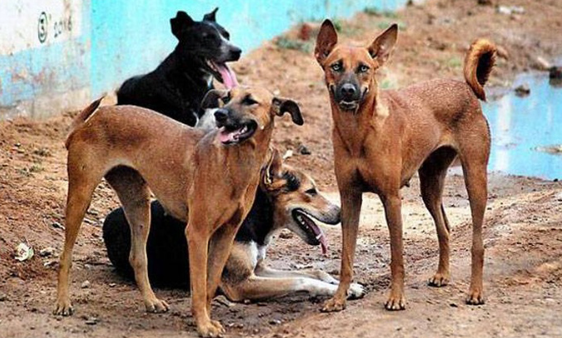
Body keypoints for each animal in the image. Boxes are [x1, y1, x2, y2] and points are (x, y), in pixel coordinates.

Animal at [53, 86, 302, 336]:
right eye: (227, 98)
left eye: (250, 101)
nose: (219, 115)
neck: (233, 163)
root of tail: (90, 122)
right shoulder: (197, 234)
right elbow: (199, 285)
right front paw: (203, 324)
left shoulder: (226, 234)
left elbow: (210, 284)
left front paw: (206, 320)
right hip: (81, 197)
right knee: (66, 256)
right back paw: (63, 303)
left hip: (139, 206)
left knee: (138, 258)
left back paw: (151, 301)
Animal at [101, 151, 364, 302]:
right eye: (311, 191)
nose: (341, 214)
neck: (253, 217)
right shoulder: (240, 284)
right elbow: (301, 280)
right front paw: (338, 290)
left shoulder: (258, 269)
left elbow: (312, 271)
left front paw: (344, 285)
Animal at [316, 20, 494, 312]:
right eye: (336, 66)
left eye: (364, 68)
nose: (348, 91)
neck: (358, 133)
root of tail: (466, 87)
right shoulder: (350, 198)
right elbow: (346, 258)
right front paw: (339, 298)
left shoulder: (391, 199)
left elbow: (396, 256)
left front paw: (396, 297)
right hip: (430, 187)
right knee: (444, 229)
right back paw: (442, 274)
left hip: (475, 180)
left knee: (477, 244)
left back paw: (476, 291)